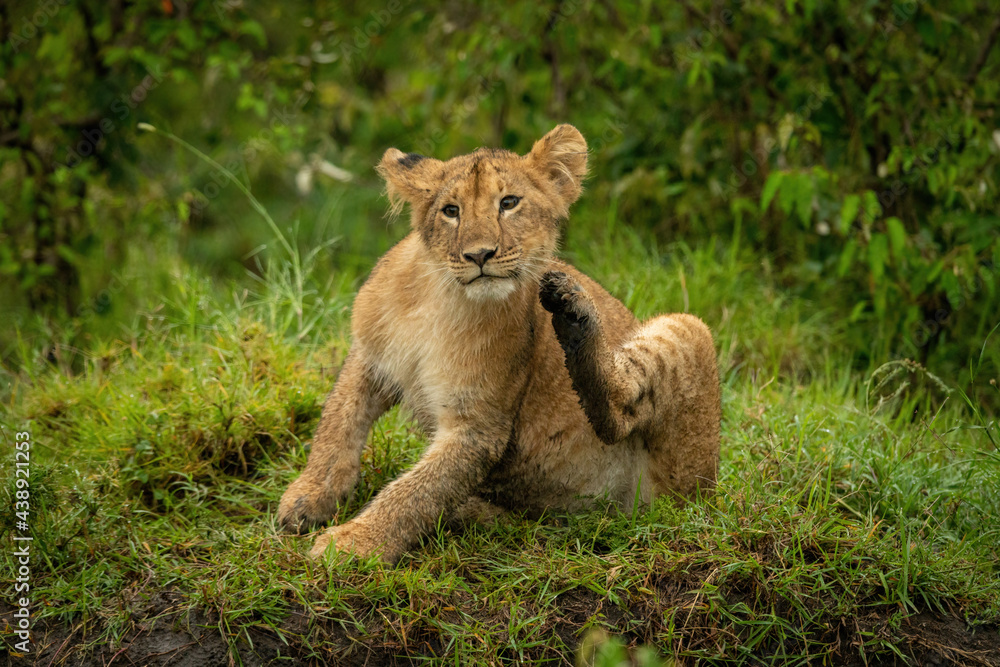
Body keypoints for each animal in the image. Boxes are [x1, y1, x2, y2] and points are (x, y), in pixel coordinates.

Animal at [277, 124, 721, 564]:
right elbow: (337, 424)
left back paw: (574, 314)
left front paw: (353, 543)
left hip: (690, 345)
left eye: (508, 203)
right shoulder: (368, 356)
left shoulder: (479, 425)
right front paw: (306, 498)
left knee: (619, 413)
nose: (479, 254)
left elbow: (417, 491)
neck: (441, 298)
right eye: (451, 210)